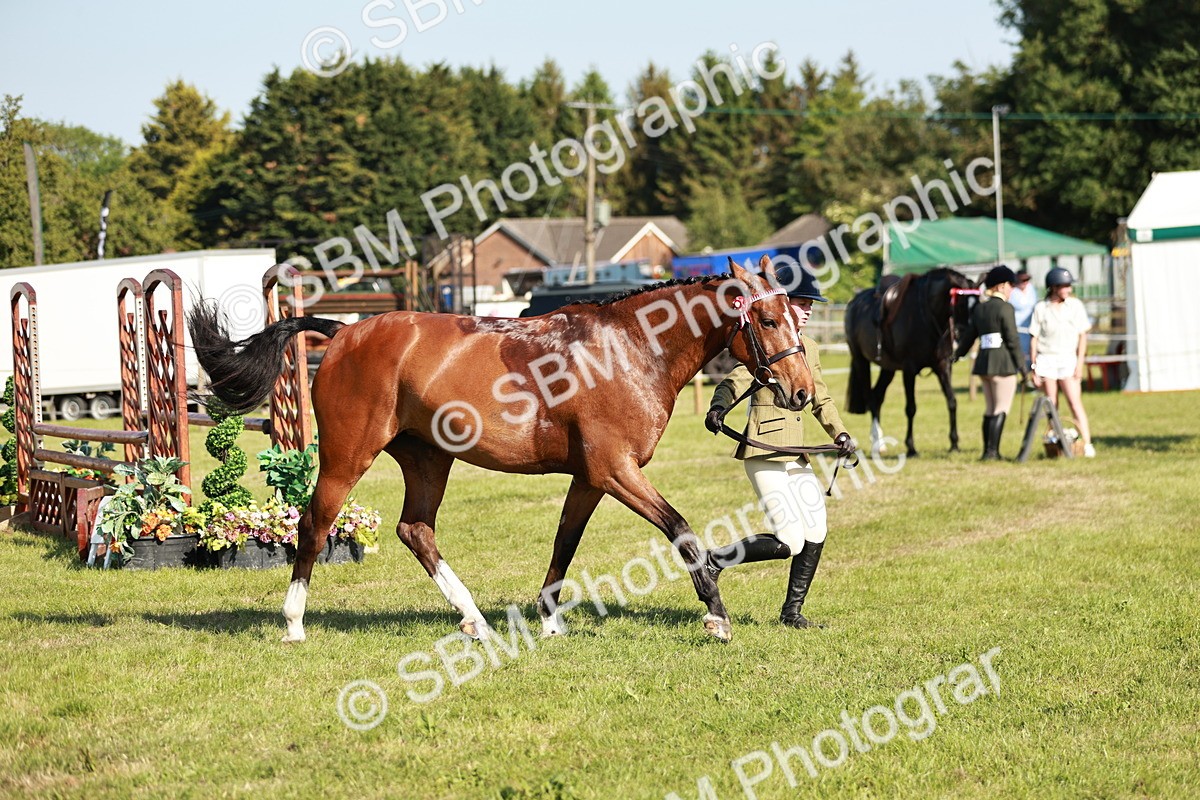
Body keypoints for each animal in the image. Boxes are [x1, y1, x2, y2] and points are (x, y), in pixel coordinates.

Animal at [188, 256, 816, 644]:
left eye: (797, 319)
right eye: (766, 319)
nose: (801, 392)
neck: (630, 347)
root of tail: (343, 333)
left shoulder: (591, 476)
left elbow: (566, 540)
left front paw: (549, 620)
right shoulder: (616, 471)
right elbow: (682, 531)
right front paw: (717, 617)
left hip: (428, 459)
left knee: (416, 530)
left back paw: (474, 621)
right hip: (349, 456)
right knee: (315, 522)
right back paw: (294, 622)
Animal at [843, 267, 976, 457]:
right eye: (961, 302)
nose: (963, 338)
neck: (926, 314)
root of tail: (854, 302)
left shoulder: (942, 366)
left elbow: (952, 401)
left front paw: (954, 444)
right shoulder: (909, 370)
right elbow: (911, 408)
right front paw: (911, 448)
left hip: (888, 369)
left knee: (877, 397)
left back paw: (880, 443)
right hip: (860, 361)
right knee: (870, 397)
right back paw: (877, 442)